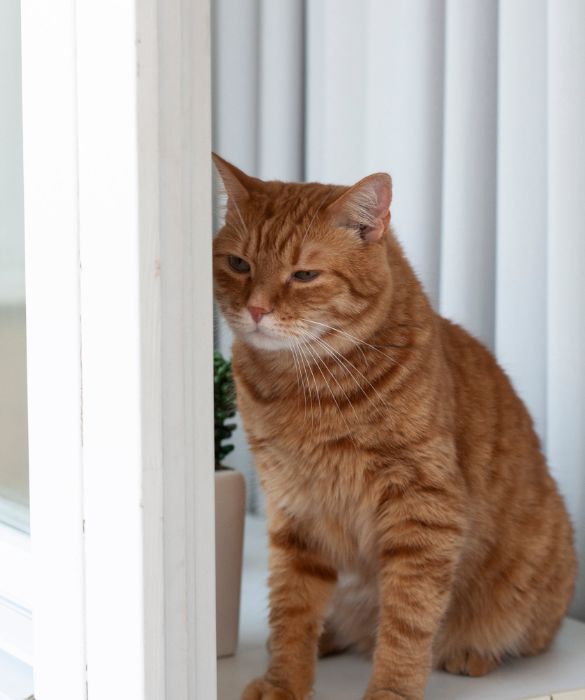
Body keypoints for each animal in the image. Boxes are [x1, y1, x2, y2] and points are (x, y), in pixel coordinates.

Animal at [211, 154, 576, 700]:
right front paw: (283, 679)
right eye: (239, 264)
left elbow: (408, 619)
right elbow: (292, 607)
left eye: (304, 274)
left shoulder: (423, 509)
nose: (256, 309)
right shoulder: (295, 508)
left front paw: (391, 690)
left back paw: (471, 653)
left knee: (517, 637)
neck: (302, 389)